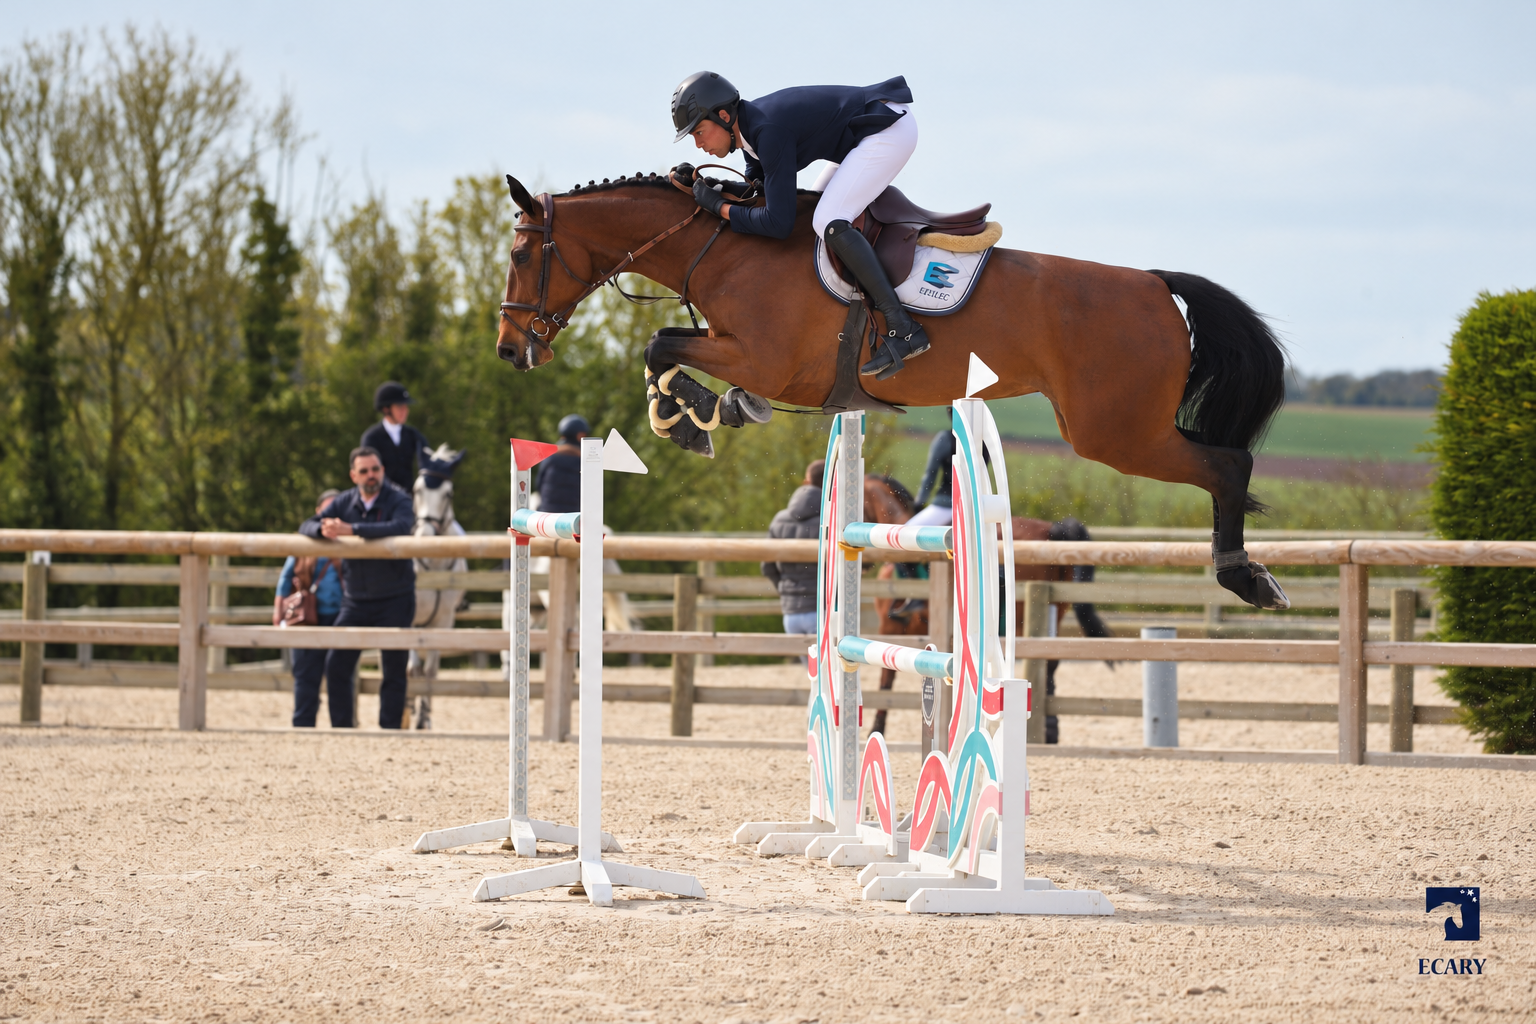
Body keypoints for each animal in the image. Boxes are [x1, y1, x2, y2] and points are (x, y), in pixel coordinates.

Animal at [493, 170, 1289, 613]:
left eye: (522, 253)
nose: (510, 349)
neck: (725, 245)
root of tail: (1156, 283)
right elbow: (664, 347)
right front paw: (699, 411)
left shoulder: (765, 358)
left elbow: (661, 346)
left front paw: (692, 416)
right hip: (1119, 426)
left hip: (1114, 432)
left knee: (1230, 465)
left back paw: (1246, 577)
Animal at [861, 475, 1112, 743]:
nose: (865, 565)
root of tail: (1053, 529)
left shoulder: (890, 627)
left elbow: (886, 678)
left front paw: (877, 728)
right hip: (1056, 608)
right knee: (1050, 662)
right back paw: (1050, 732)